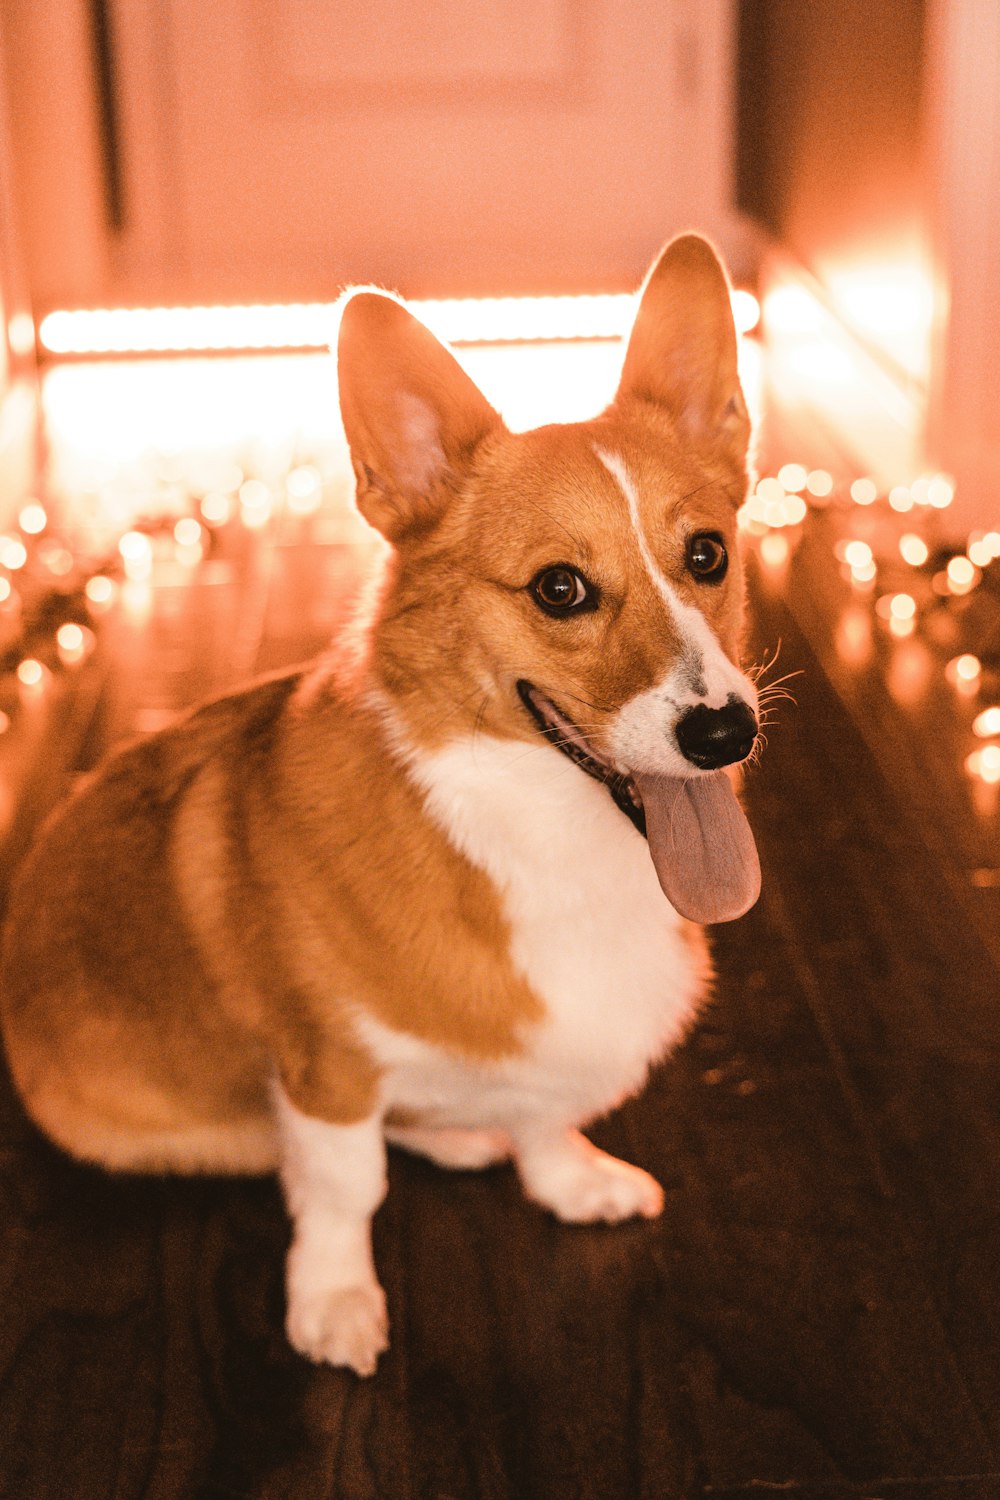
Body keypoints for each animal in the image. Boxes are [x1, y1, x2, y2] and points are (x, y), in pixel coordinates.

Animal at [0, 237, 761, 1380]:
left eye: (707, 554)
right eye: (560, 589)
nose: (725, 734)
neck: (534, 836)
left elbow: (544, 1119)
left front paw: (569, 1179)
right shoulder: (327, 1065)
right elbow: (343, 1187)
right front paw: (333, 1302)